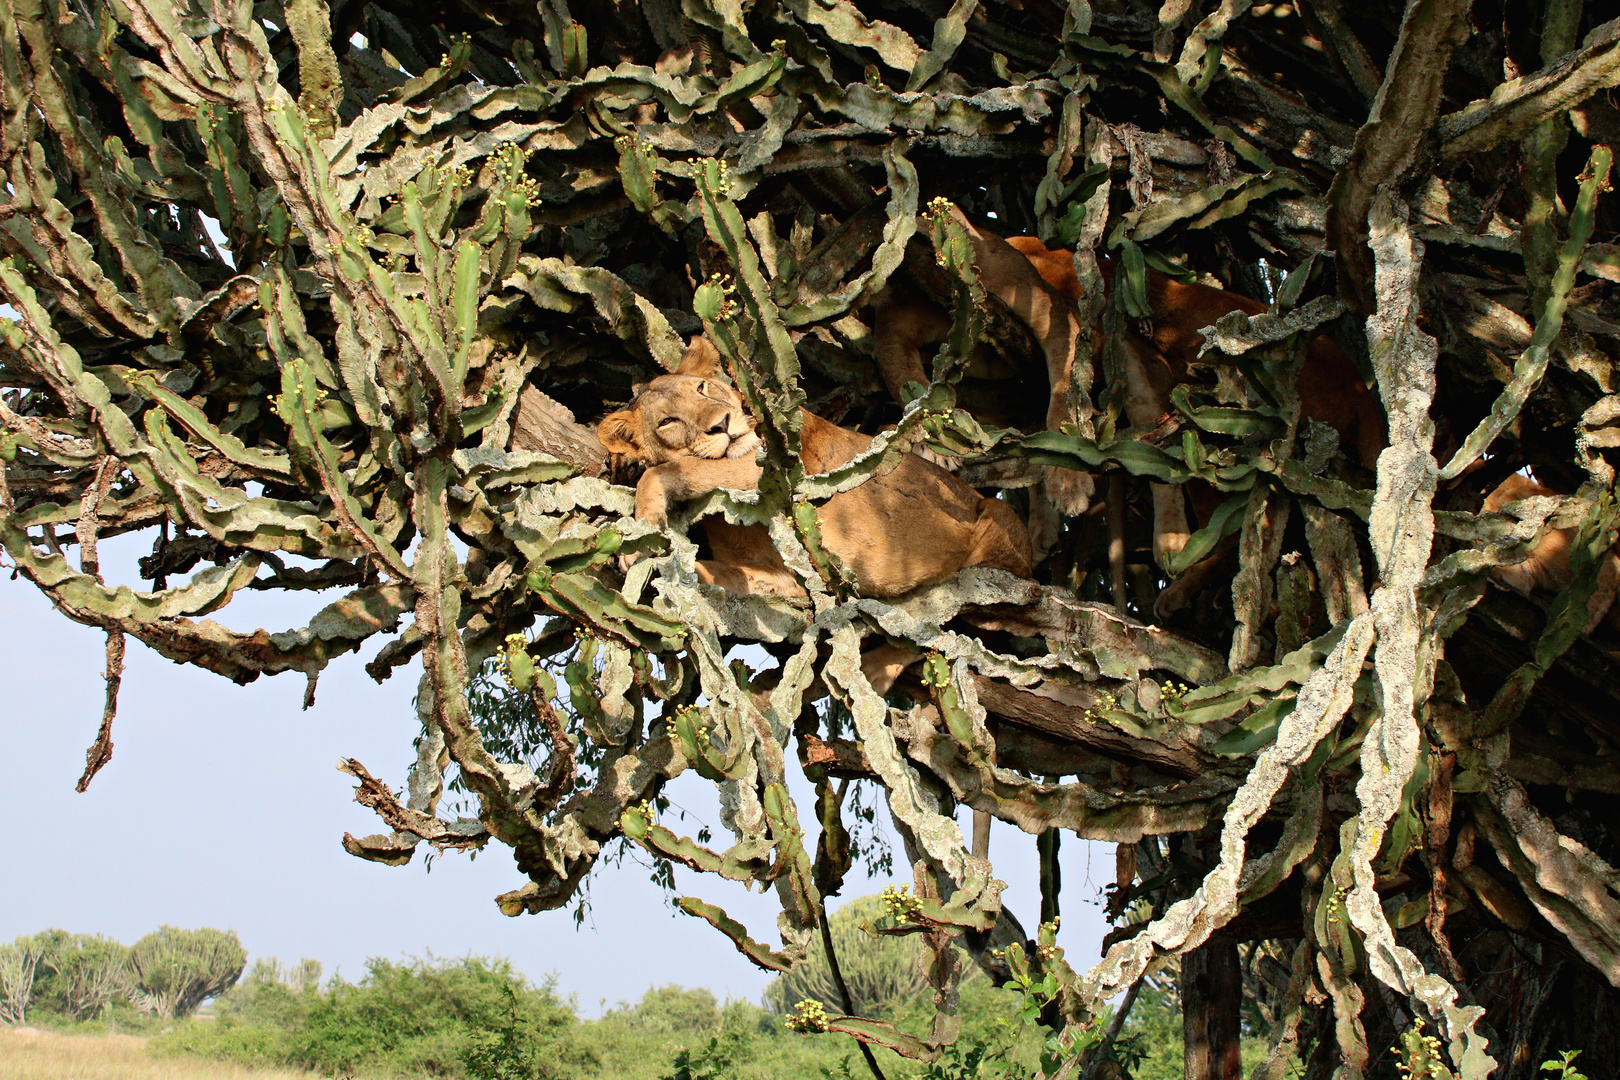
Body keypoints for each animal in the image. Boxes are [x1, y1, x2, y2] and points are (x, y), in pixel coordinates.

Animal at [599, 338, 1036, 599]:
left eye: (702, 388)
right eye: (667, 421)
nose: (721, 424)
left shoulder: (774, 469)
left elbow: (671, 471)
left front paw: (642, 529)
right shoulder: (782, 577)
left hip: (997, 515)